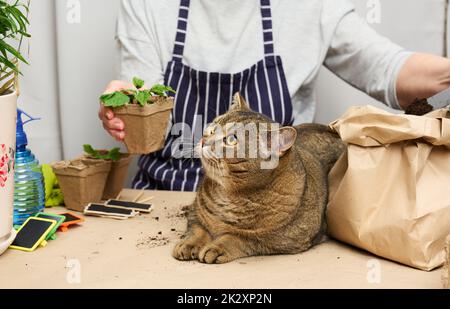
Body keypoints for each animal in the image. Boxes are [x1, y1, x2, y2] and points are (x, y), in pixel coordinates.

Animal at [172, 92, 344, 264]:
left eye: (232, 139)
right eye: (213, 127)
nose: (203, 141)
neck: (228, 195)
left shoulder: (277, 240)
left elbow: (237, 238)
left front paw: (217, 247)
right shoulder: (195, 214)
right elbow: (198, 230)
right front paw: (189, 243)